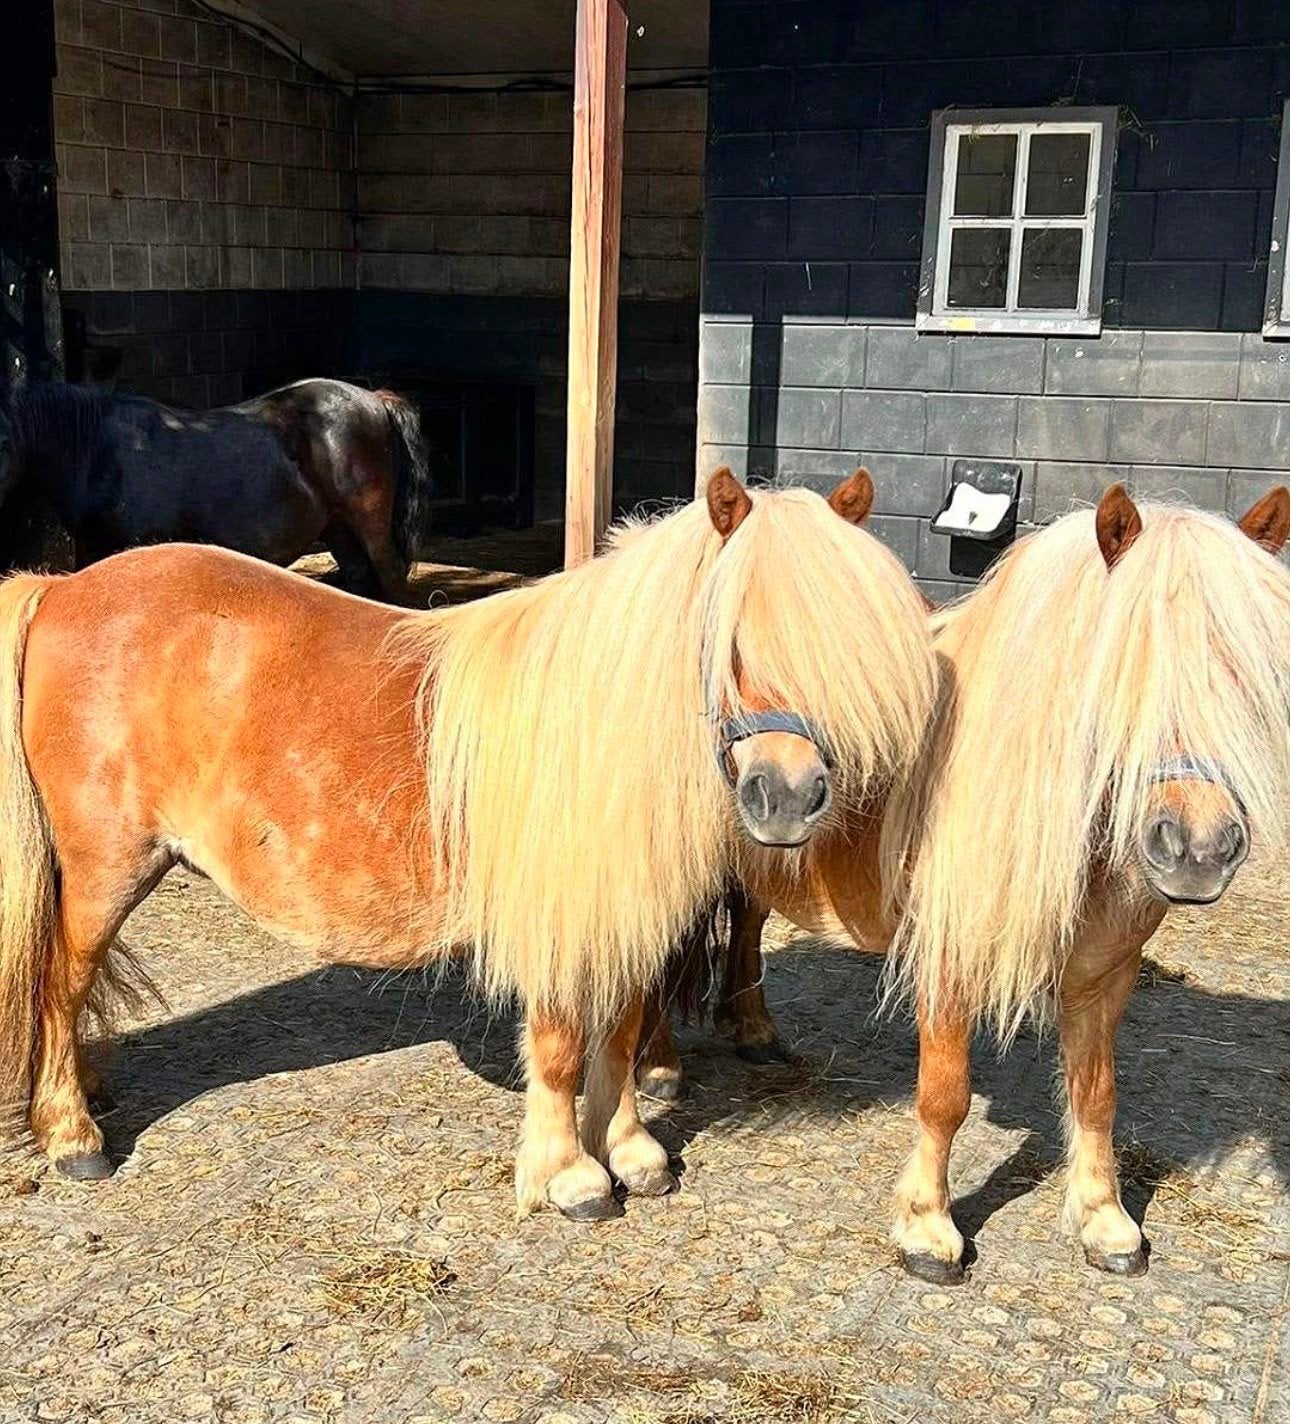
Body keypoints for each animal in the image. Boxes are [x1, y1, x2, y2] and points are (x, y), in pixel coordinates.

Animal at [0, 379, 430, 601]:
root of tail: (375, 400)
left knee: (390, 575)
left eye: (4, 440)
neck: (100, 451)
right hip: (338, 527)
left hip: (368, 521)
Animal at [0, 467, 937, 1222]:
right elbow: (560, 1047)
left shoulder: (627, 911)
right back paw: (72, 1133)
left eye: (852, 642)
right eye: (729, 635)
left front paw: (632, 1151)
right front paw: (569, 1178)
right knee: (61, 982)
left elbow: (625, 1032)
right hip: (107, 871)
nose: (788, 796)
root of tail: (62, 587)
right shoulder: (559, 914)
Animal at [638, 483, 1290, 1279]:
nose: (1199, 850)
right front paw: (928, 1229)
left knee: (749, 921)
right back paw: (659, 1066)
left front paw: (1106, 1223)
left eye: (1249, 673)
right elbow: (945, 1094)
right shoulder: (949, 958)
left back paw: (754, 1029)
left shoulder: (1106, 971)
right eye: (1119, 669)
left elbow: (1098, 1093)